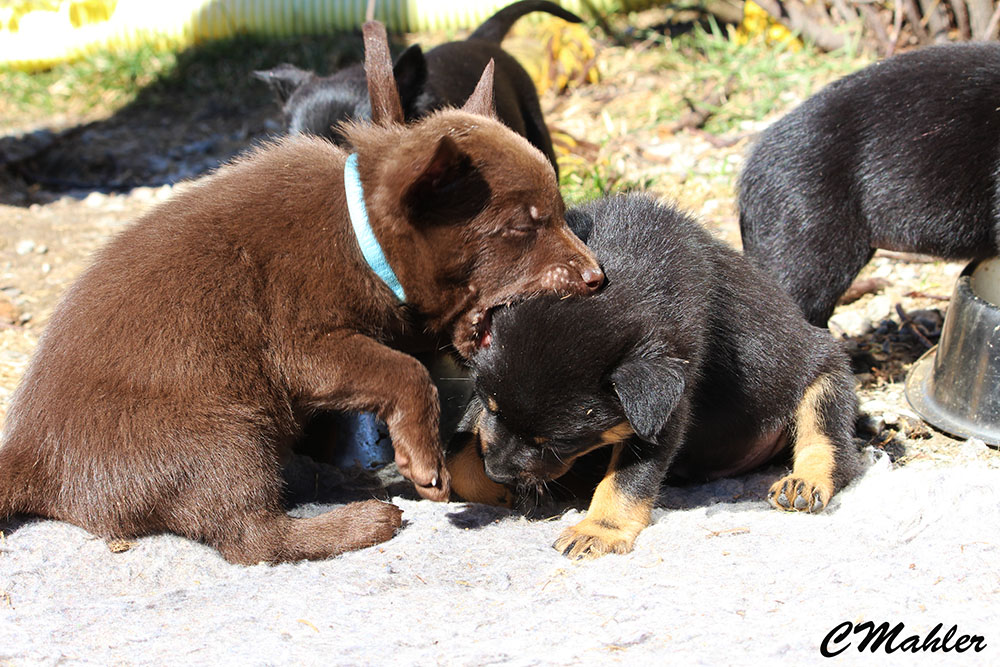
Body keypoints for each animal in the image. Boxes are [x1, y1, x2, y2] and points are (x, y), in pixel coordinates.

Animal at [0, 22, 603, 565]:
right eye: (523, 226)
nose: (598, 277)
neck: (360, 234)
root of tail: (33, 456)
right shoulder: (302, 342)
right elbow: (405, 371)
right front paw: (423, 460)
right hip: (222, 429)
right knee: (250, 537)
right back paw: (362, 520)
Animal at [447, 194, 864, 559]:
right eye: (492, 406)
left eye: (559, 442)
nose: (497, 473)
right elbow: (460, 454)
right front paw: (493, 488)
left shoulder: (664, 408)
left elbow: (628, 479)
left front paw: (599, 530)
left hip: (825, 376)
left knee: (829, 443)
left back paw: (804, 481)